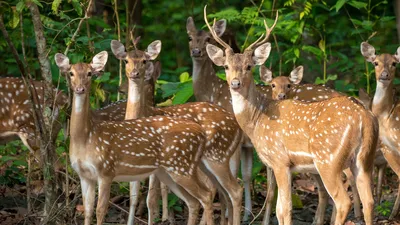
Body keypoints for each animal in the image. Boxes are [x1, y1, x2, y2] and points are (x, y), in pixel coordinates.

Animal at [55, 50, 219, 225]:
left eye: (89, 73)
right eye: (71, 73)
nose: (80, 89)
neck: (86, 139)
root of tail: (200, 133)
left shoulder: (106, 170)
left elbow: (100, 211)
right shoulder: (84, 175)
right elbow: (87, 211)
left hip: (181, 167)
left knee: (206, 195)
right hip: (168, 171)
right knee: (194, 201)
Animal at [205, 6, 380, 224]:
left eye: (249, 66)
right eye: (226, 66)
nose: (235, 83)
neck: (257, 120)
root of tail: (364, 118)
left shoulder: (280, 160)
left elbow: (285, 209)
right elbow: (279, 209)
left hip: (328, 159)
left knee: (343, 201)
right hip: (364, 159)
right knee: (370, 201)